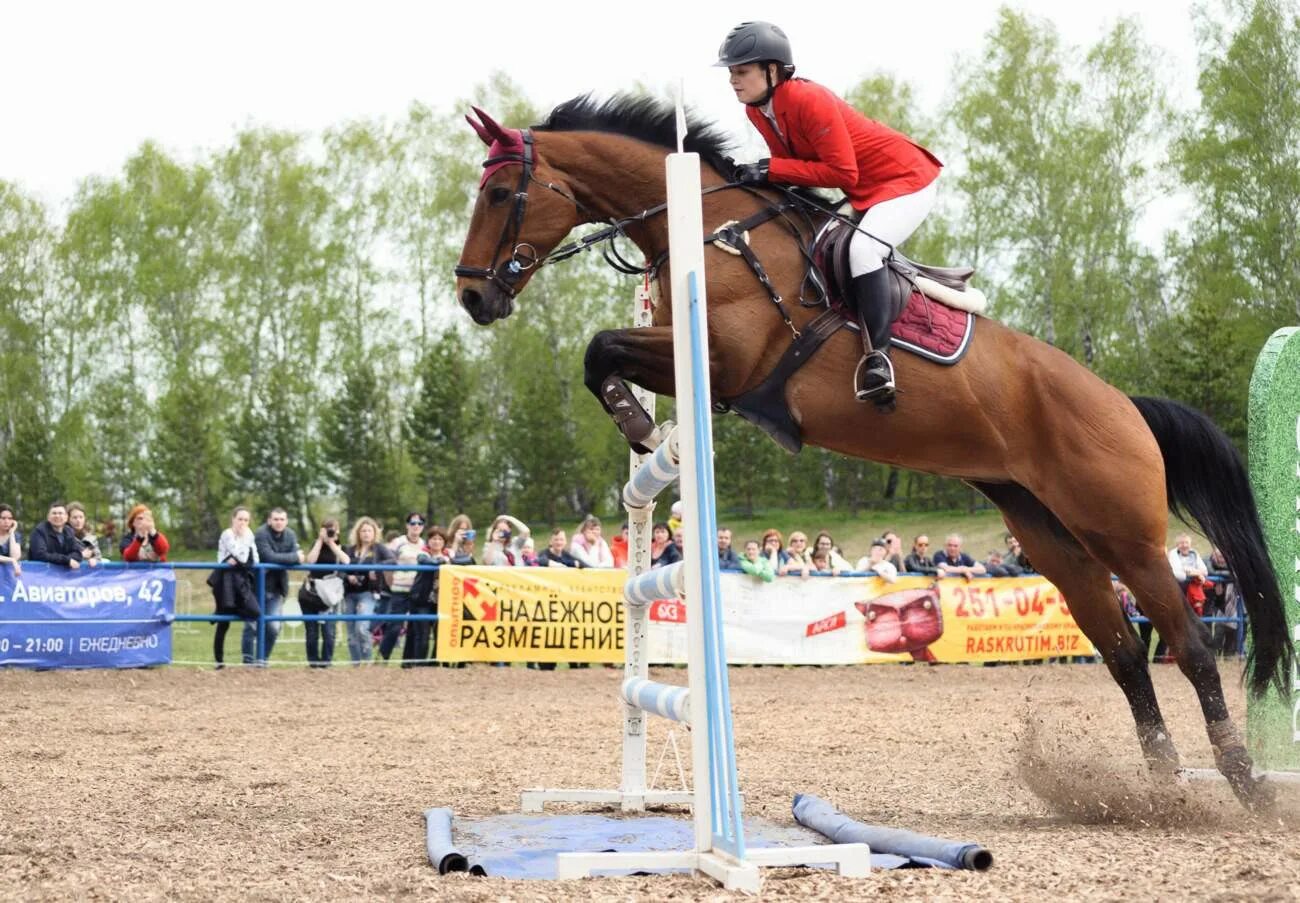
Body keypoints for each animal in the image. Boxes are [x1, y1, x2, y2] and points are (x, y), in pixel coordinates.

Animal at [454, 95, 1289, 810]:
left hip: (1125, 536)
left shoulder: (726, 364)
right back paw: (1163, 785)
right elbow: (600, 353)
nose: (472, 297)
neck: (715, 227)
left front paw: (638, 426)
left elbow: (601, 347)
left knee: (1190, 648)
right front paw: (640, 426)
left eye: (499, 194)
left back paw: (1242, 784)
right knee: (1123, 652)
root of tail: (1127, 406)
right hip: (1053, 536)